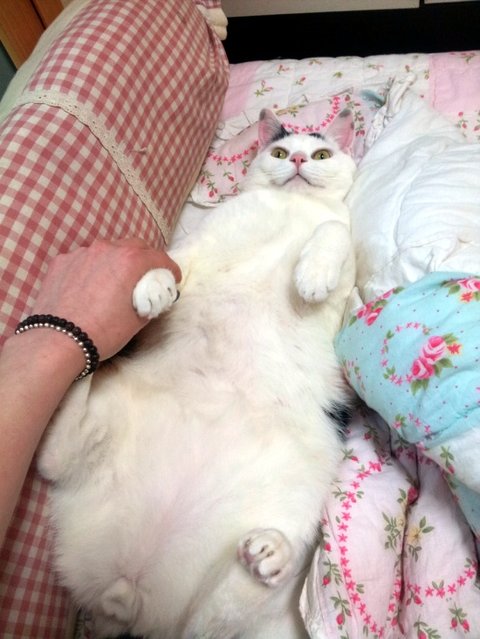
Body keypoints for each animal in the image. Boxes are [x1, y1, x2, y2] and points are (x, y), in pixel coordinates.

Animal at [37, 108, 357, 639]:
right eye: (278, 151)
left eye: (321, 153)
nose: (295, 160)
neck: (291, 209)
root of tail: (136, 585)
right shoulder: (205, 241)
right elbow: (173, 262)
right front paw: (152, 287)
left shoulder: (350, 270)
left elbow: (335, 232)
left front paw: (312, 274)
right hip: (109, 415)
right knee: (55, 454)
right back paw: (86, 356)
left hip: (300, 496)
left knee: (223, 611)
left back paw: (269, 553)